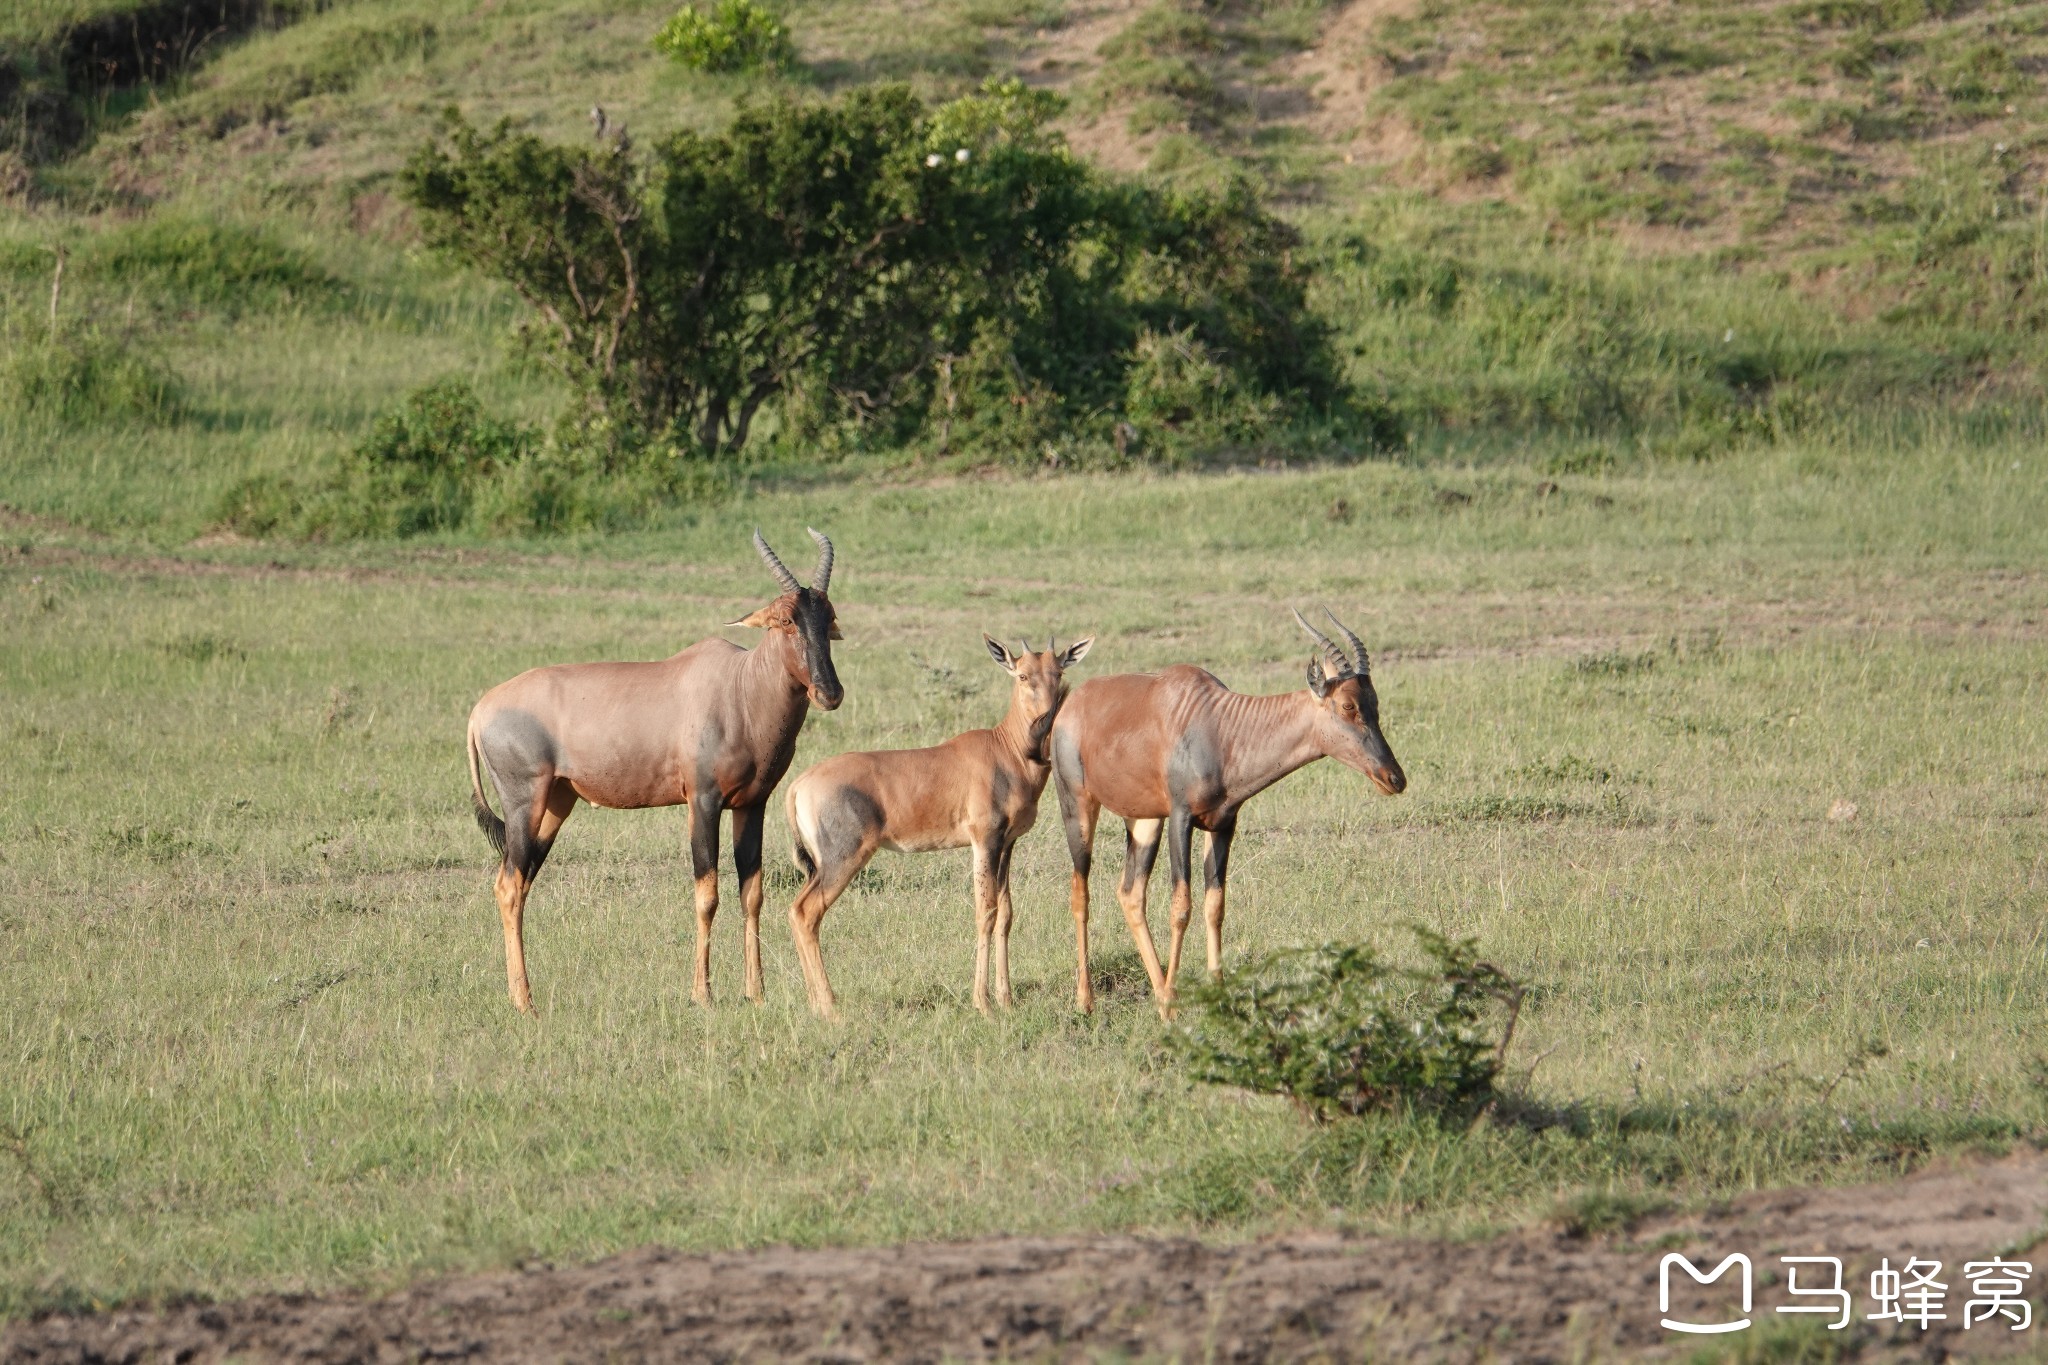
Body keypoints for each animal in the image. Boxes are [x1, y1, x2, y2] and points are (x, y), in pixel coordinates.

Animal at [464, 532, 839, 1015]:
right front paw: (702, 994)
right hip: (522, 802)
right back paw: (523, 1002)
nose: (829, 692)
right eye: (786, 619)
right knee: (510, 887)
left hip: (555, 804)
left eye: (829, 616)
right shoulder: (702, 800)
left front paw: (755, 993)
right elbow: (707, 894)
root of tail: (480, 711)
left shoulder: (752, 803)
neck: (737, 685)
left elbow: (752, 893)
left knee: (518, 883)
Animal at [782, 634, 1097, 1015]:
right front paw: (983, 1003)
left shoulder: (1007, 843)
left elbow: (1005, 914)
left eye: (1058, 672)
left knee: (798, 912)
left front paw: (1005, 999)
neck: (1004, 748)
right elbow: (985, 912)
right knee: (805, 913)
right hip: (842, 859)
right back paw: (830, 1008)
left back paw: (817, 1004)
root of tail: (799, 785)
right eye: (1022, 675)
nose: (1045, 728)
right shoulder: (984, 840)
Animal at [1056, 609, 1409, 1015]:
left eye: (1375, 703)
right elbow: (1181, 906)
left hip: (1144, 821)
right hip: (1078, 806)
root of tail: (1072, 704)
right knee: (1080, 892)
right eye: (1348, 705)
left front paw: (1217, 994)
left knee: (1130, 894)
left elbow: (1215, 905)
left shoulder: (1223, 824)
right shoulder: (1181, 819)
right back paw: (1087, 1000)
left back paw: (1157, 990)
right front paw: (1172, 1007)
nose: (1394, 778)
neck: (1222, 726)